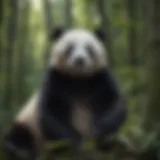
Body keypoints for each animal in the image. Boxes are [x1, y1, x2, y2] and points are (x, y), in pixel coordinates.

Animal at [3, 26, 127, 159]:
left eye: (89, 48)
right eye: (70, 48)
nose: (79, 60)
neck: (79, 79)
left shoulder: (101, 78)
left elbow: (112, 105)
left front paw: (99, 134)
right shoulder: (56, 79)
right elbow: (53, 110)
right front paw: (74, 143)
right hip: (29, 124)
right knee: (19, 134)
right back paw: (20, 151)